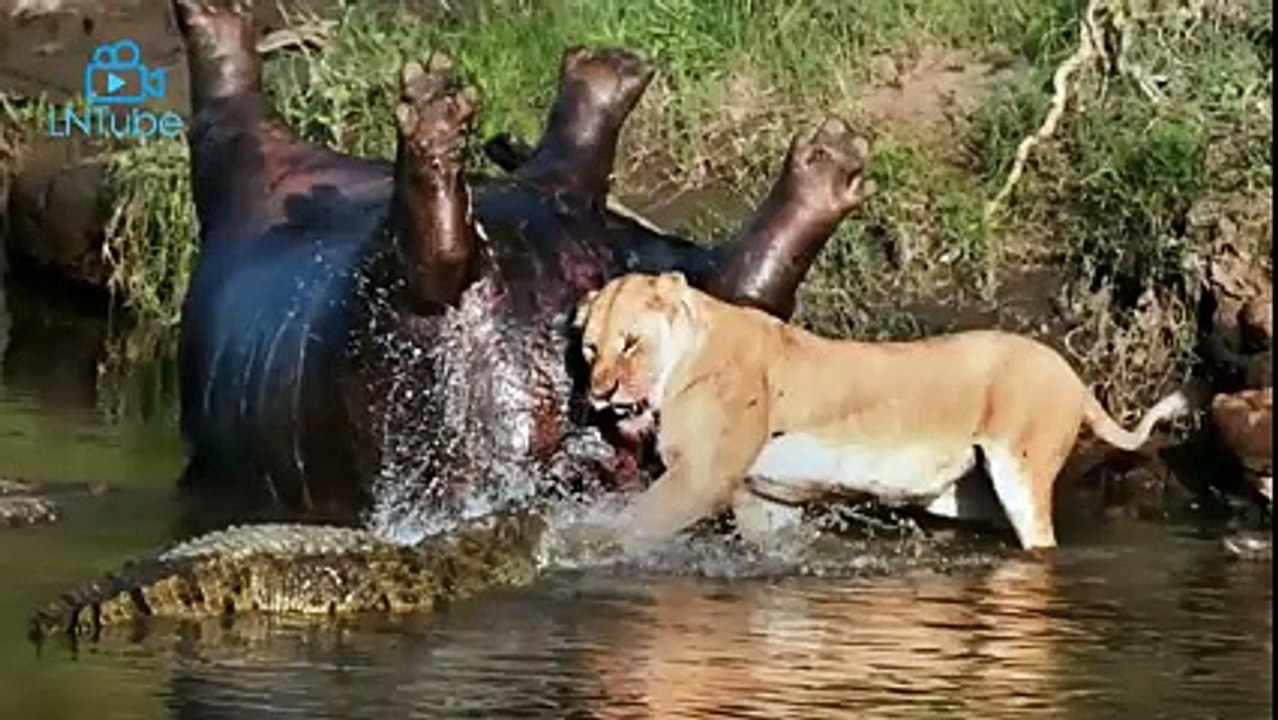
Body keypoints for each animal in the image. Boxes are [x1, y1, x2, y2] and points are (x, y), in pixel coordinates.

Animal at [572, 271, 1191, 551]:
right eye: (590, 349)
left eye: (630, 343)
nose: (599, 394)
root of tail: (1072, 374)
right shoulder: (763, 498)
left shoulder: (701, 476)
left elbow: (632, 523)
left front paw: (577, 544)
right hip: (968, 496)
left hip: (1020, 471)